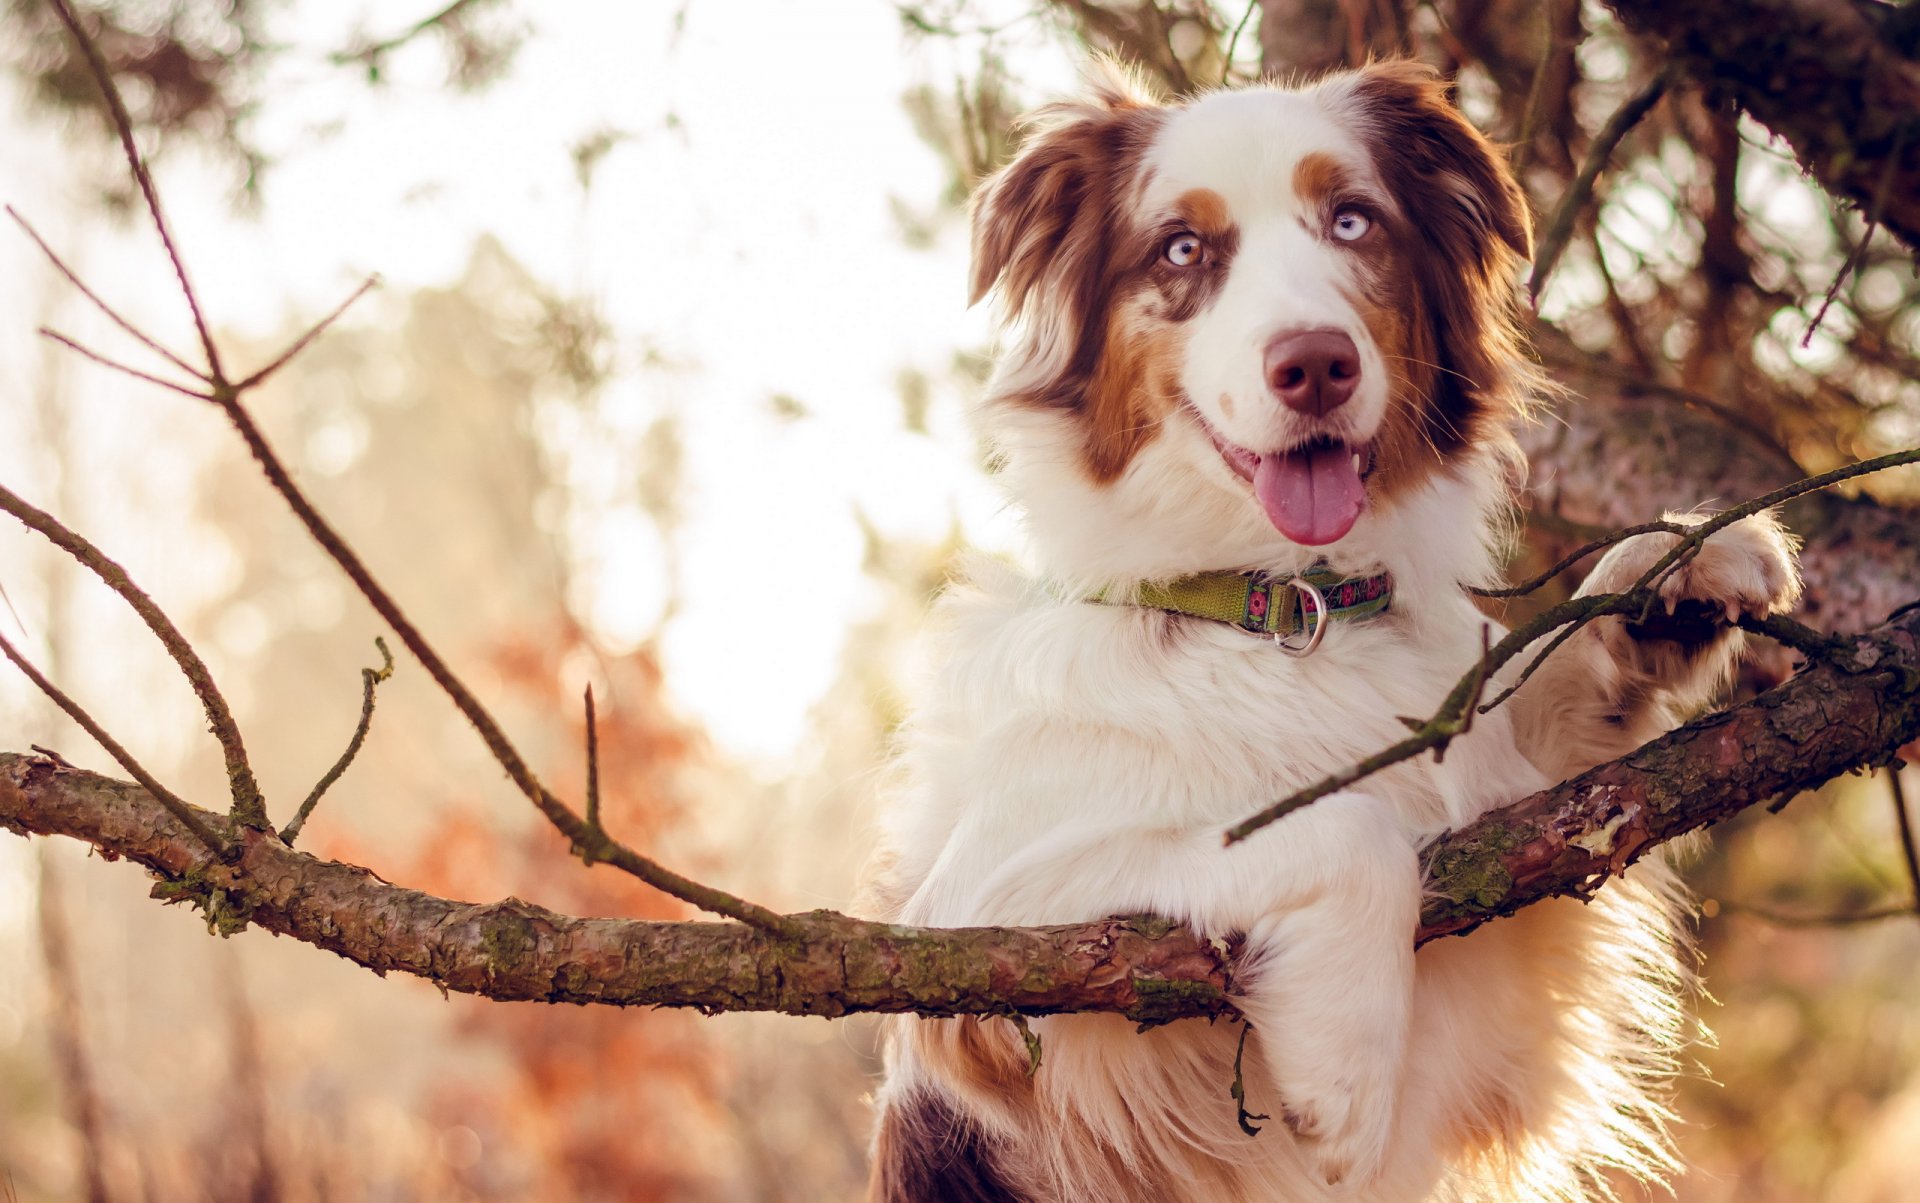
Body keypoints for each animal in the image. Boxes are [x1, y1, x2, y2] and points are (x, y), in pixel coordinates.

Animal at [867, 58, 1797, 1203]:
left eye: (1353, 219)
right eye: (1182, 249)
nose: (1315, 365)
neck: (1288, 610)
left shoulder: (1508, 916)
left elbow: (1536, 691)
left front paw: (1672, 566)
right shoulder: (976, 928)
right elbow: (1338, 828)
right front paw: (1344, 1075)